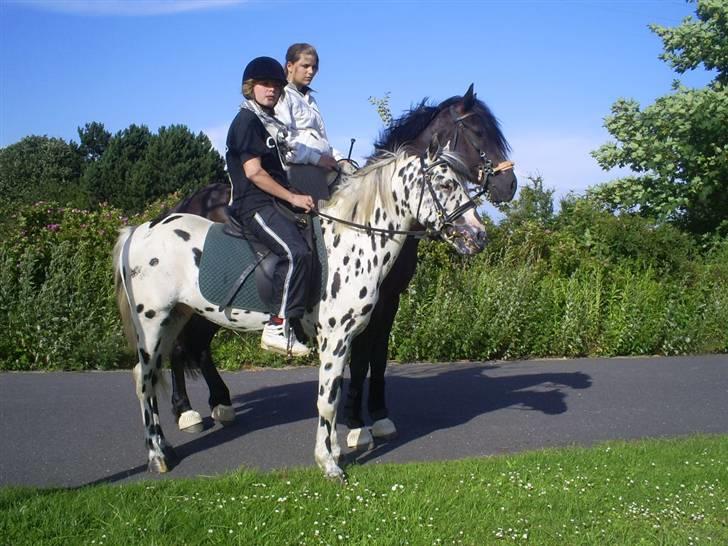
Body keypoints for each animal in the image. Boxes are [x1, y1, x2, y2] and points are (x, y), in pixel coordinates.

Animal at [114, 143, 486, 476]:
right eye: (446, 184)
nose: (479, 235)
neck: (352, 242)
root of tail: (139, 231)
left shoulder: (351, 337)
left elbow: (336, 393)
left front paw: (336, 448)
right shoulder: (336, 337)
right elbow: (327, 400)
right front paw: (329, 464)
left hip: (178, 316)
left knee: (150, 373)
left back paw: (170, 442)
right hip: (154, 323)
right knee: (146, 378)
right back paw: (158, 454)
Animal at [168, 83, 516, 444]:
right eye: (479, 132)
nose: (510, 185)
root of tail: (188, 202)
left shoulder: (389, 302)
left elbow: (378, 358)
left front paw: (379, 415)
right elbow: (360, 361)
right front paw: (357, 424)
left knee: (198, 347)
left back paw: (221, 403)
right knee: (179, 348)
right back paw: (186, 412)